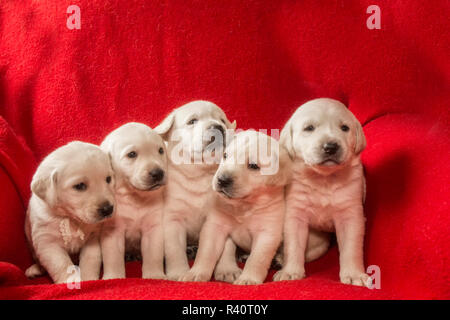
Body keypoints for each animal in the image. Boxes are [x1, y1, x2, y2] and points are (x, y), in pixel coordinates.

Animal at [24, 141, 116, 284]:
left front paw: (88, 279)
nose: (108, 209)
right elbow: (61, 264)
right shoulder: (47, 242)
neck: (70, 217)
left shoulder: (93, 237)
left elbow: (90, 260)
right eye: (80, 186)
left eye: (108, 179)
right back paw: (35, 269)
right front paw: (70, 281)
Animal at [99, 122, 168, 280]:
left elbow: (153, 253)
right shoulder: (113, 230)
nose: (158, 173)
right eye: (132, 154)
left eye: (160, 150)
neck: (135, 196)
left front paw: (154, 275)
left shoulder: (152, 226)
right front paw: (114, 277)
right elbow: (113, 257)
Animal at [155, 100, 236, 280]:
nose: (218, 127)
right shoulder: (173, 219)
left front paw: (227, 270)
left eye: (222, 120)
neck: (199, 173)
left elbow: (226, 247)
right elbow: (174, 249)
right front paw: (178, 272)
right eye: (192, 121)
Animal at [180, 130, 290, 284]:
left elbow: (257, 259)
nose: (222, 180)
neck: (243, 206)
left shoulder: (267, 233)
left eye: (253, 166)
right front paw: (196, 272)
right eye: (225, 155)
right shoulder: (216, 227)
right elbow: (207, 251)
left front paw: (248, 278)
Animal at [274, 99, 370, 286]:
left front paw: (354, 274)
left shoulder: (351, 215)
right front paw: (290, 272)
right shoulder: (295, 213)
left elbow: (351, 247)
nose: (330, 147)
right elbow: (293, 245)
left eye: (344, 128)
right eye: (309, 128)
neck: (323, 179)